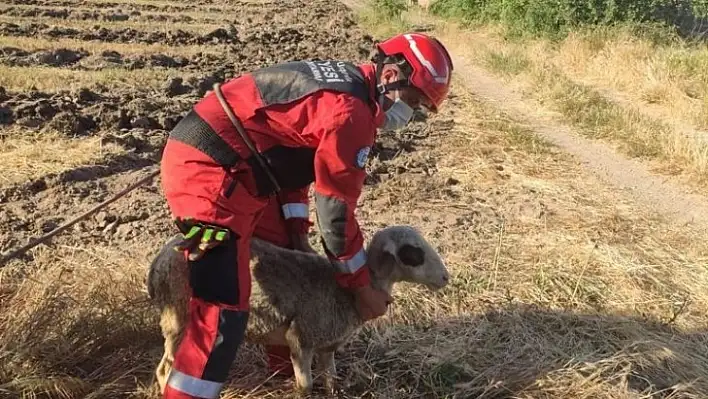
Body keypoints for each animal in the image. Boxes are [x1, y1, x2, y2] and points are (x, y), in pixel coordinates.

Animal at [147, 225, 450, 396]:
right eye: (412, 253)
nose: (446, 278)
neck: (347, 290)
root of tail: (160, 259)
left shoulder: (328, 343)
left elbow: (331, 378)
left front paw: (334, 390)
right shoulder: (300, 338)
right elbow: (305, 387)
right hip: (179, 318)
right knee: (165, 370)